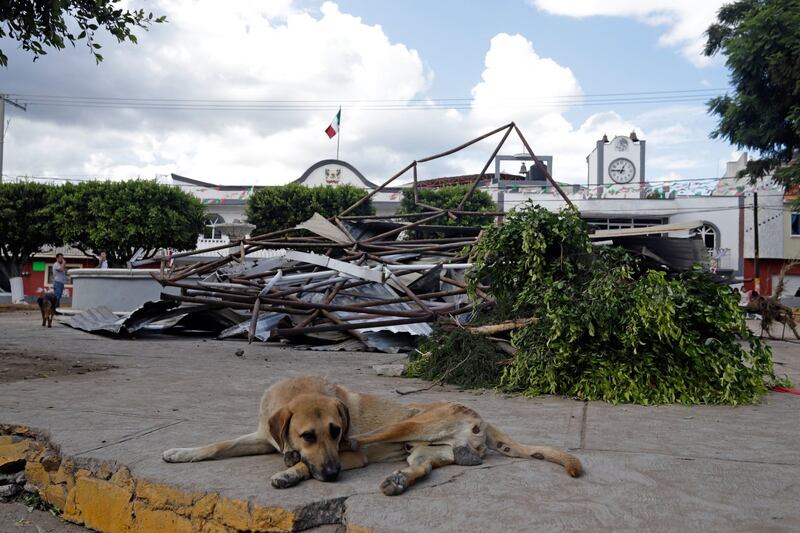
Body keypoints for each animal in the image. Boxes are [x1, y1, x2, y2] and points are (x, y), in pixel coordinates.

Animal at [162, 374, 584, 494]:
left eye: (333, 431)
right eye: (308, 435)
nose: (334, 475)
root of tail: (482, 417)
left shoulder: (346, 454)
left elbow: (309, 464)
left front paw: (290, 471)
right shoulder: (262, 434)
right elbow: (218, 445)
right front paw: (180, 453)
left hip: (409, 424)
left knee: (373, 439)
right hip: (425, 450)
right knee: (422, 468)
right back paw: (399, 481)